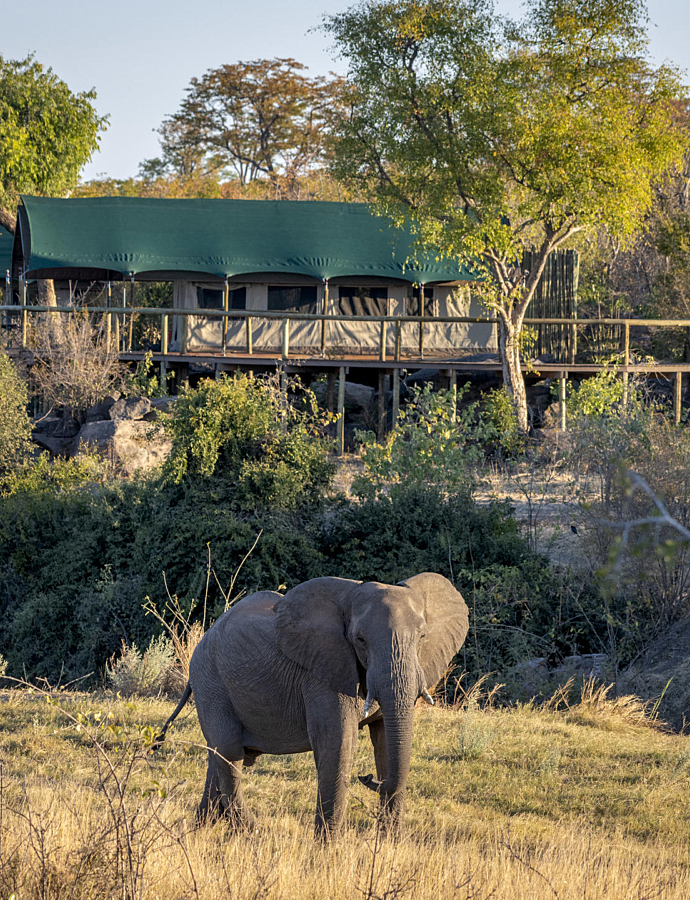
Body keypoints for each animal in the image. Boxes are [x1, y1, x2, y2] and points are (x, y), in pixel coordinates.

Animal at [157, 573, 469, 836]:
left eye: (422, 637)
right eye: (360, 640)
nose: (368, 778)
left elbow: (384, 741)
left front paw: (390, 844)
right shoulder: (321, 673)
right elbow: (338, 742)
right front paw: (326, 851)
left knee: (218, 757)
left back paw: (201, 832)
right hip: (211, 683)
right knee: (229, 753)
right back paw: (251, 834)